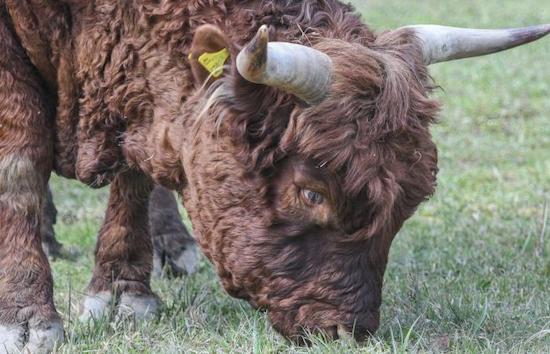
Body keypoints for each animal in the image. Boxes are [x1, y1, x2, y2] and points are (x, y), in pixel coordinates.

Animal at [1, 1, 550, 352]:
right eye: (311, 192)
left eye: (406, 206)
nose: (347, 331)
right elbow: (20, 162)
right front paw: (26, 318)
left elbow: (136, 173)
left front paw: (122, 292)